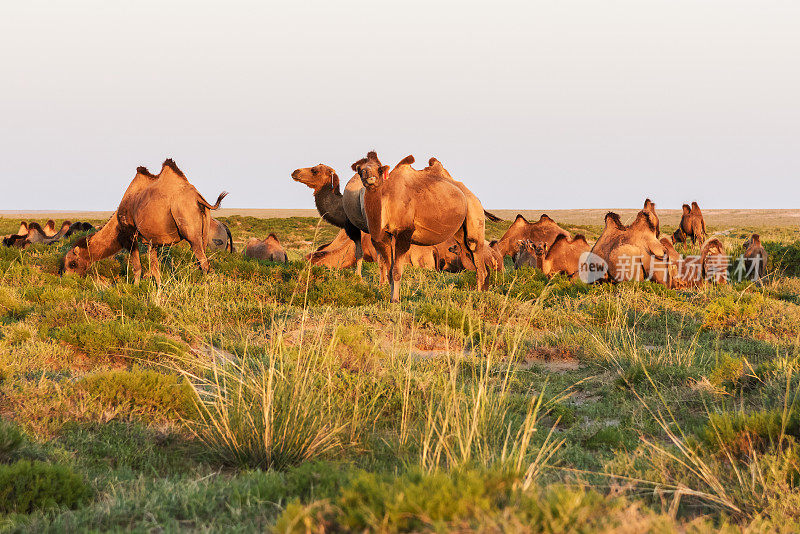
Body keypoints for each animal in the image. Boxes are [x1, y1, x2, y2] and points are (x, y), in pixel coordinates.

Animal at [60, 159, 225, 284]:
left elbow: (137, 267)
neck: (118, 226)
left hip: (188, 226)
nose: (67, 278)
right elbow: (155, 268)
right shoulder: (152, 240)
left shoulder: (131, 235)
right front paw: (159, 288)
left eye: (72, 263)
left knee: (203, 262)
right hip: (204, 230)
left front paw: (135, 287)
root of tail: (197, 197)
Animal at [356, 153, 488, 304]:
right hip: (461, 231)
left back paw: (479, 294)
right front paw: (390, 298)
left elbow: (396, 271)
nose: (368, 175)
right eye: (360, 169)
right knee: (469, 254)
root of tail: (474, 197)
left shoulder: (404, 234)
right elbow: (389, 270)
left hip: (474, 213)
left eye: (379, 169)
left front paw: (395, 300)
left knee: (475, 250)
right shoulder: (382, 237)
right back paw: (480, 291)